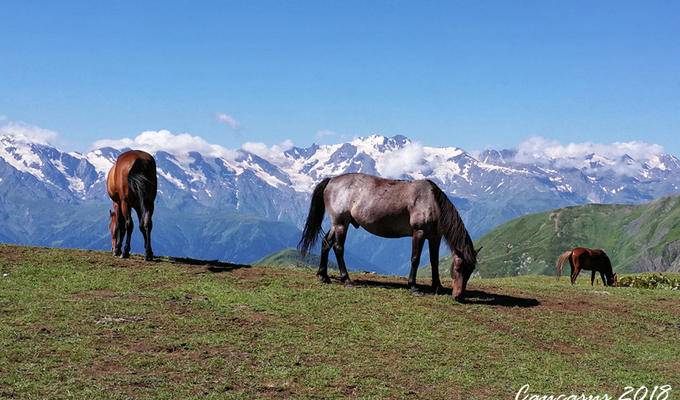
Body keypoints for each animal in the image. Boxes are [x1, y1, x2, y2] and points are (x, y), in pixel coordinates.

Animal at [298, 172, 478, 300]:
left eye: (470, 271)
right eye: (458, 268)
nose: (458, 296)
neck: (431, 201)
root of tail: (331, 180)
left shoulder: (435, 237)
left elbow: (434, 262)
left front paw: (437, 286)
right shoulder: (419, 233)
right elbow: (415, 259)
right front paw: (413, 286)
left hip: (336, 224)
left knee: (326, 243)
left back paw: (324, 276)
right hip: (342, 224)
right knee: (338, 247)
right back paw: (346, 279)